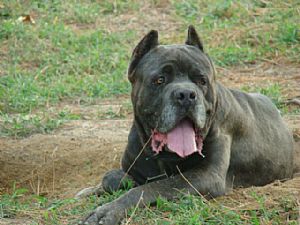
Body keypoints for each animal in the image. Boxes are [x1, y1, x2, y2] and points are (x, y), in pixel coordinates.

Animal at [79, 25, 292, 223]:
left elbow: (152, 187)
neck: (165, 156)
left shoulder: (206, 176)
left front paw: (107, 211)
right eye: (159, 80)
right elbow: (110, 177)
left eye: (202, 80)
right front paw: (91, 190)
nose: (186, 95)